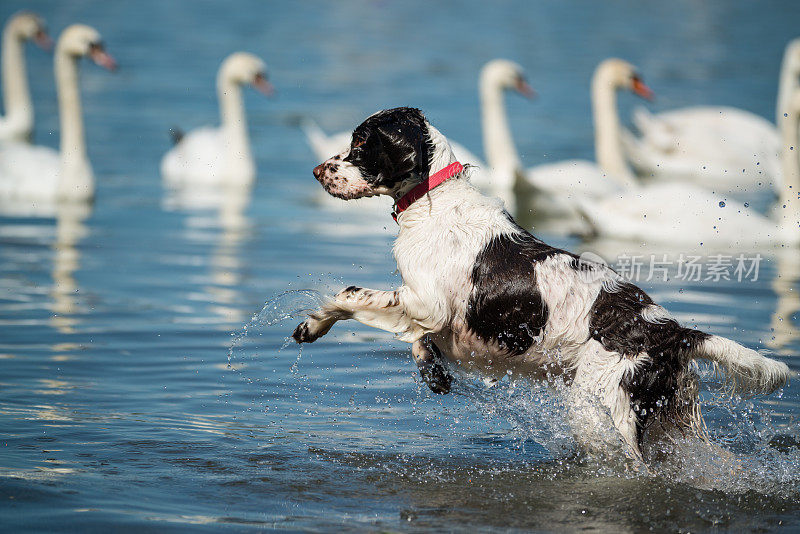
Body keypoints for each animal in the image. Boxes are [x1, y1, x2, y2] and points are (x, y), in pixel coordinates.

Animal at [292, 107, 788, 462]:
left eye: (360, 142)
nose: (316, 170)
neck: (435, 202)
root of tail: (672, 331)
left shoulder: (425, 302)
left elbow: (349, 296)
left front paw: (311, 325)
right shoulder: (433, 317)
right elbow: (421, 342)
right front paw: (433, 372)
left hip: (603, 409)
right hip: (673, 419)